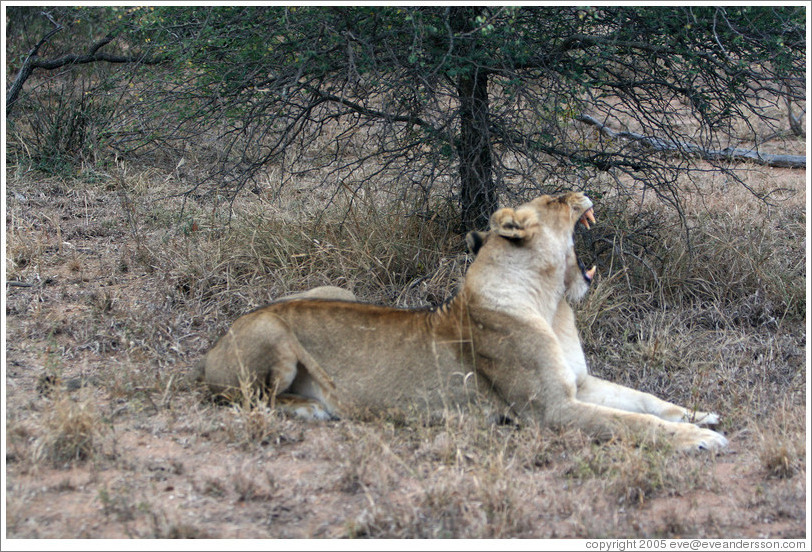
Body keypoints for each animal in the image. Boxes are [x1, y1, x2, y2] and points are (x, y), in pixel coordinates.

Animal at [202, 192, 728, 452]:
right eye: (558, 200)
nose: (584, 190)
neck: (552, 303)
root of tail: (210, 349)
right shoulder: (550, 411)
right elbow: (632, 424)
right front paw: (701, 439)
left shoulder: (578, 384)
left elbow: (644, 400)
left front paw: (697, 415)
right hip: (271, 335)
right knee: (246, 399)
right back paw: (311, 408)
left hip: (336, 291)